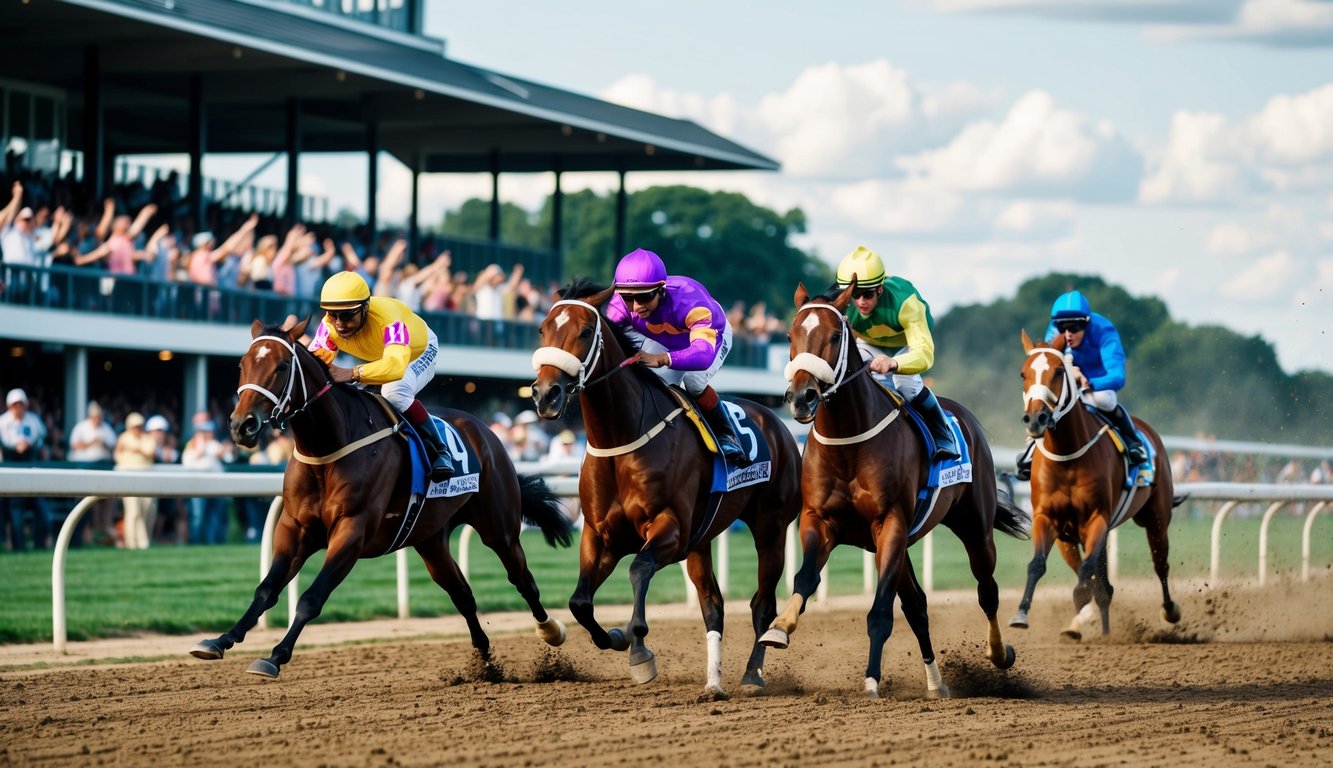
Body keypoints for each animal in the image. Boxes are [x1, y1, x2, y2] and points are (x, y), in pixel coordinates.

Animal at [190, 320, 575, 677]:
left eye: (282, 366)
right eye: (242, 364)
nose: (242, 425)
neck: (327, 448)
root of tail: (486, 432)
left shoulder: (352, 531)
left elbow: (311, 598)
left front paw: (275, 656)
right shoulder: (294, 527)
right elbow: (266, 589)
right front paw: (221, 640)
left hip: (499, 527)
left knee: (523, 581)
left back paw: (551, 631)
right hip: (430, 540)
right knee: (463, 596)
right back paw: (486, 665)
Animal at [530, 280, 799, 693]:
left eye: (586, 331)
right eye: (543, 329)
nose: (546, 394)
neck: (621, 439)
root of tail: (778, 423)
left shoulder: (671, 529)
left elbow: (639, 568)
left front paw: (639, 650)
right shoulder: (600, 535)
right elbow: (579, 602)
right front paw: (616, 637)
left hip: (771, 526)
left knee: (762, 603)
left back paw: (752, 673)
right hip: (703, 539)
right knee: (713, 604)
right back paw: (714, 683)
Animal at [762, 280, 1029, 693]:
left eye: (835, 335)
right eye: (791, 335)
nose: (802, 397)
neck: (849, 442)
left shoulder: (890, 523)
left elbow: (880, 612)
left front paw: (872, 678)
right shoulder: (819, 519)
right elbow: (806, 577)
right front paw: (779, 628)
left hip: (973, 528)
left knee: (987, 590)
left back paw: (999, 653)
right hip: (900, 546)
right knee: (918, 607)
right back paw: (936, 682)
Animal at [1007, 326, 1189, 640]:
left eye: (1058, 371)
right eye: (1023, 373)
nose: (1035, 419)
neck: (1068, 456)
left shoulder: (1097, 518)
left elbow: (1087, 573)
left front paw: (1081, 605)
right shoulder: (1049, 519)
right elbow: (1038, 565)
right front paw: (1022, 614)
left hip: (1155, 518)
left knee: (1160, 564)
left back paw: (1169, 610)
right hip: (1073, 536)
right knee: (1102, 582)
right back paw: (1097, 628)